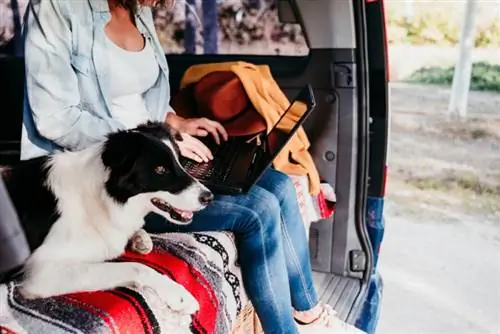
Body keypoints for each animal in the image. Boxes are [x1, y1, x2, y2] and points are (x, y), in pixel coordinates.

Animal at [0, 121, 212, 314]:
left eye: (180, 162)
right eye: (161, 170)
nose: (209, 197)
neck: (100, 199)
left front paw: (139, 237)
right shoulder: (43, 273)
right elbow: (137, 267)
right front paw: (178, 295)